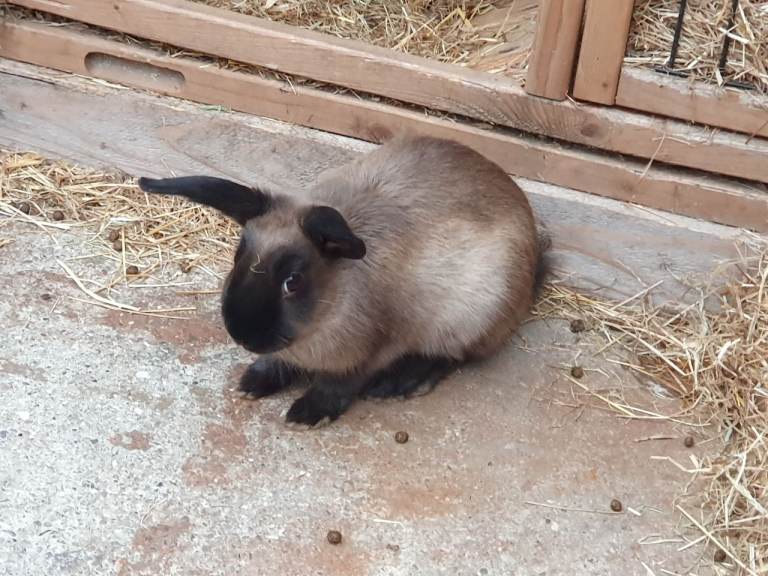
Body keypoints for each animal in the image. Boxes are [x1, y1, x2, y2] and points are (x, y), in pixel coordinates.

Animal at [138, 134, 546, 427]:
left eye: (293, 281)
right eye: (239, 256)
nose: (243, 335)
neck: (328, 309)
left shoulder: (372, 352)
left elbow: (341, 383)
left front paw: (308, 413)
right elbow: (276, 363)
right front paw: (254, 383)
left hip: (472, 314)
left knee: (452, 356)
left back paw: (397, 385)